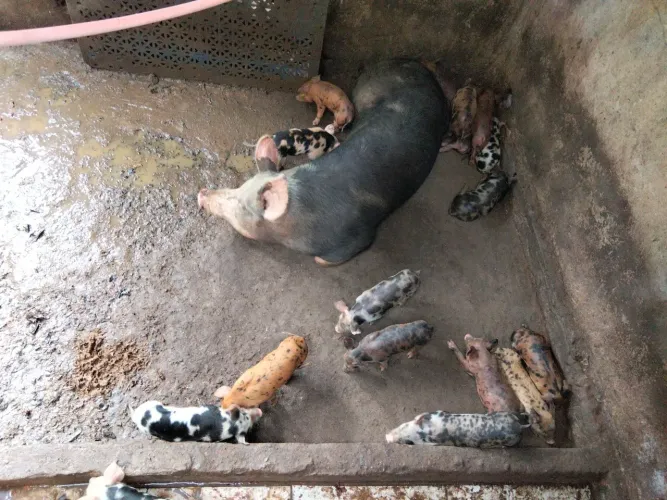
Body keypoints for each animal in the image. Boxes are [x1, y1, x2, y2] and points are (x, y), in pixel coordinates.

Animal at [198, 59, 447, 266]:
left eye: (239, 204)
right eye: (239, 186)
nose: (201, 192)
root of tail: (409, 62)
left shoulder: (358, 237)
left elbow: (323, 260)